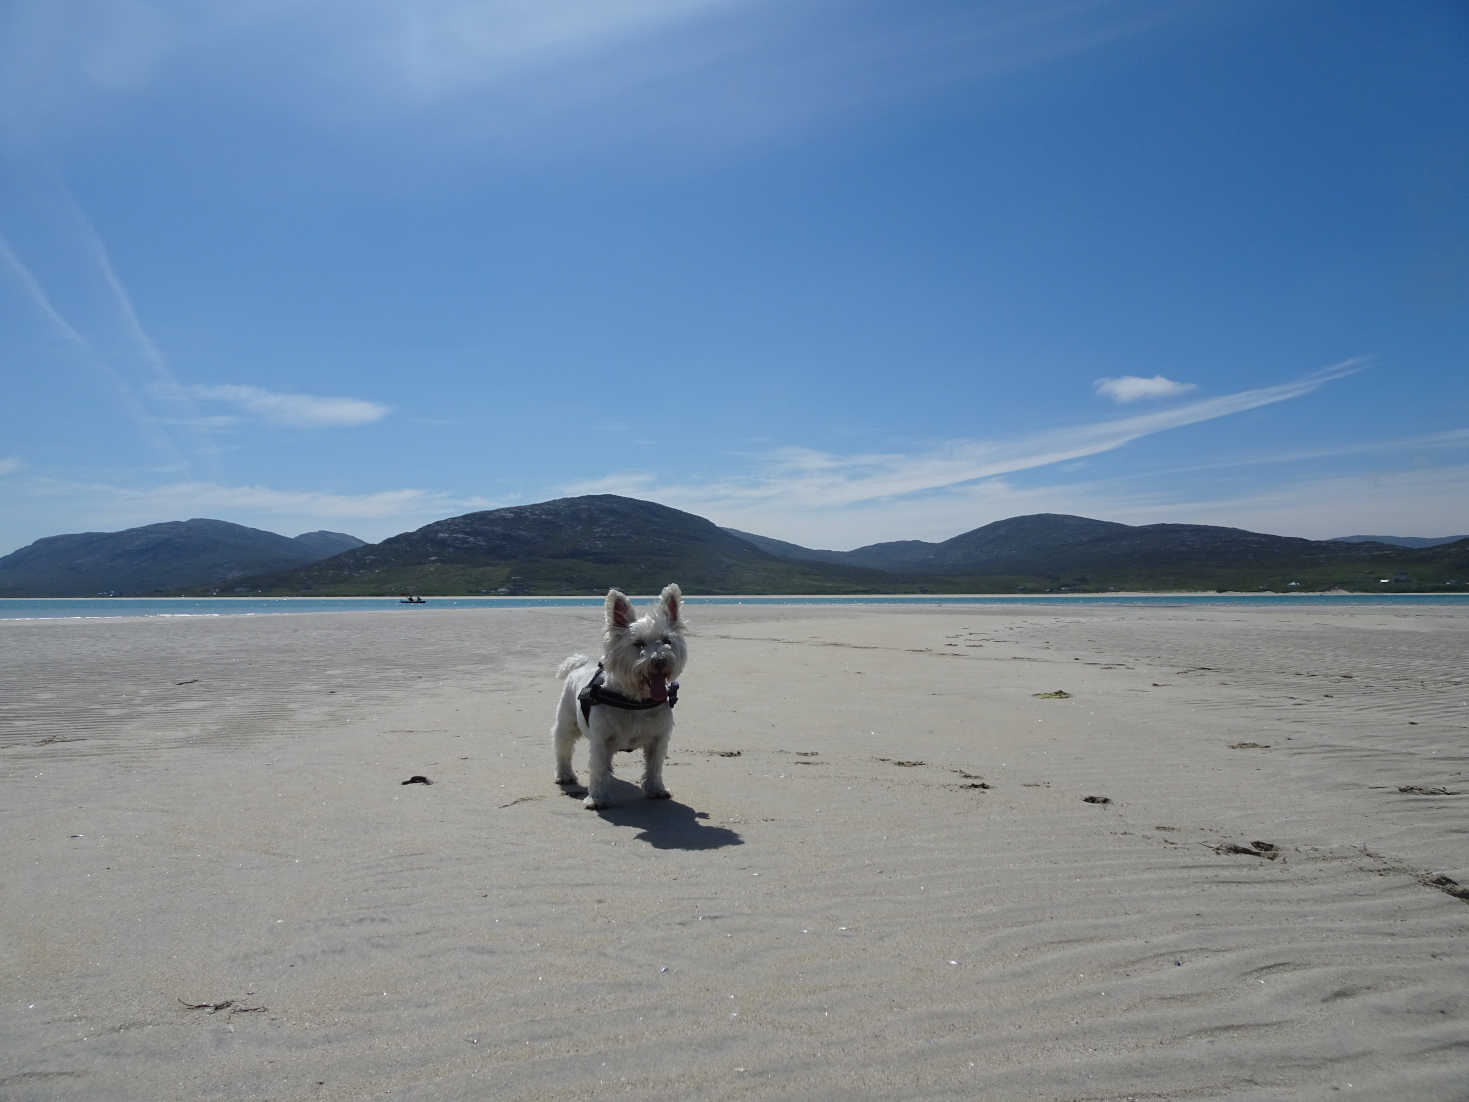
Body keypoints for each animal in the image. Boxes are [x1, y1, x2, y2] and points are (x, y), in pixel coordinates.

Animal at [552, 587, 687, 811]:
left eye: (667, 641)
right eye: (638, 643)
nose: (660, 661)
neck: (635, 701)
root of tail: (580, 665)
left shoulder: (658, 738)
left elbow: (654, 765)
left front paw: (656, 789)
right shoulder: (600, 739)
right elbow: (597, 769)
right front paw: (597, 798)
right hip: (566, 721)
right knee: (563, 747)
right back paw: (565, 775)